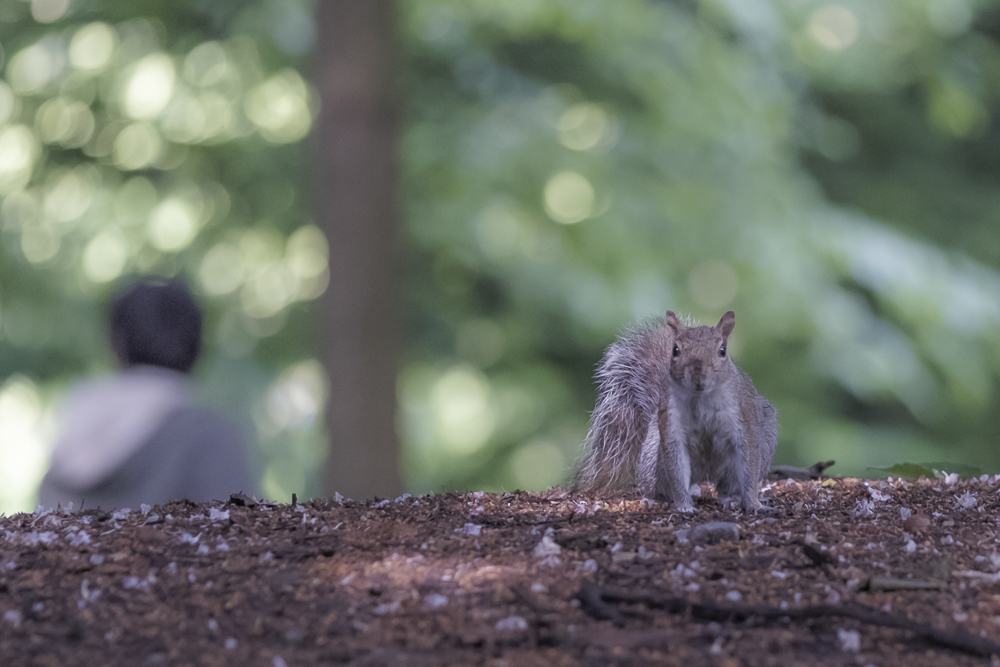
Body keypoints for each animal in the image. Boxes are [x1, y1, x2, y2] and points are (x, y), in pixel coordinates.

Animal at [576, 310, 776, 516]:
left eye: (722, 351)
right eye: (676, 350)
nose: (698, 376)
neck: (701, 399)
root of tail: (705, 475)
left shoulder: (745, 419)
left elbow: (749, 465)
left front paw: (754, 504)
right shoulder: (671, 424)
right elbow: (676, 467)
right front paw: (684, 505)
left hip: (749, 456)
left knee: (726, 488)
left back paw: (732, 499)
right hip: (651, 462)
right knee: (666, 485)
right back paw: (657, 499)